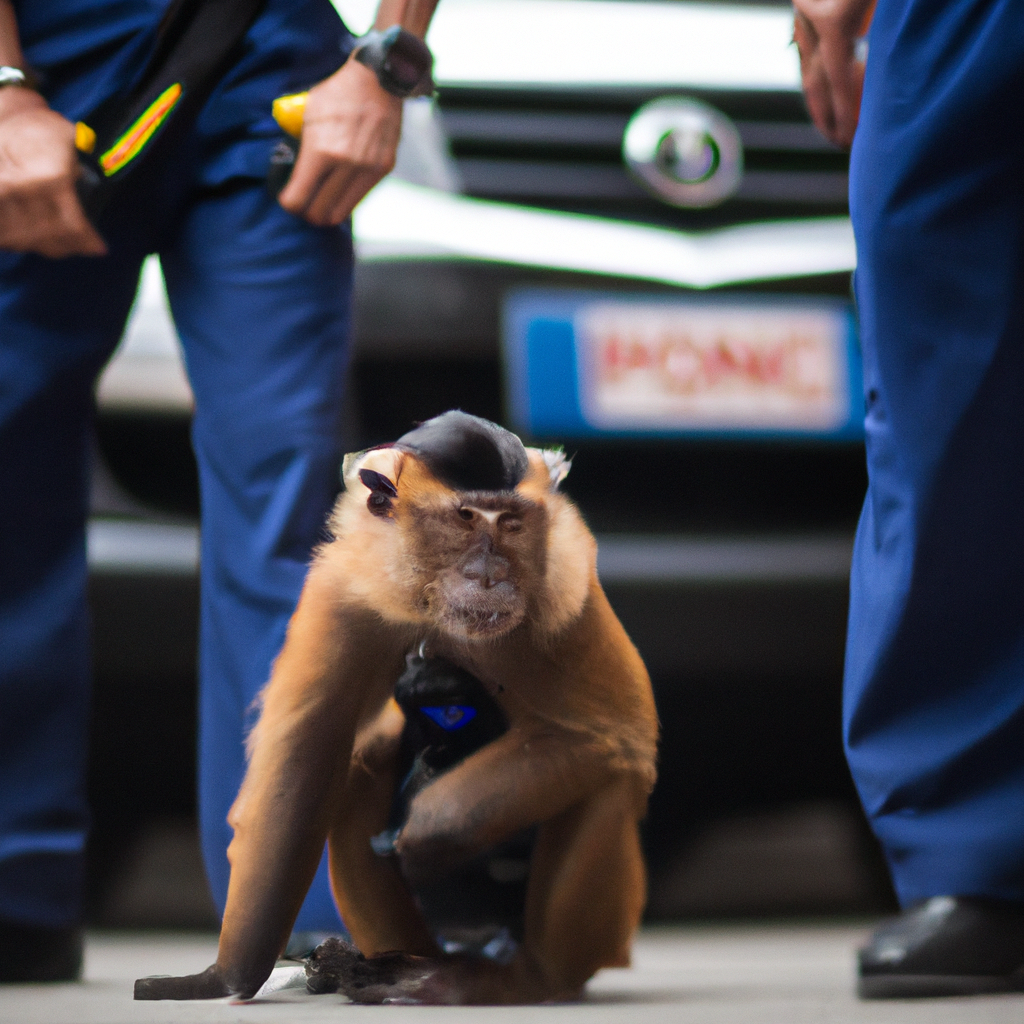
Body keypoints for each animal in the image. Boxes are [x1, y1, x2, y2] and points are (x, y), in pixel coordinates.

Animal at [134, 411, 658, 1005]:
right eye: (465, 518)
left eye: (512, 523)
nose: (489, 575)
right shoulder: (343, 593)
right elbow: (304, 763)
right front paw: (230, 975)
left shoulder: (567, 583)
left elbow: (609, 734)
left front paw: (434, 827)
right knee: (365, 763)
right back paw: (399, 968)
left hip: (592, 940)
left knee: (606, 781)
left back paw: (521, 978)